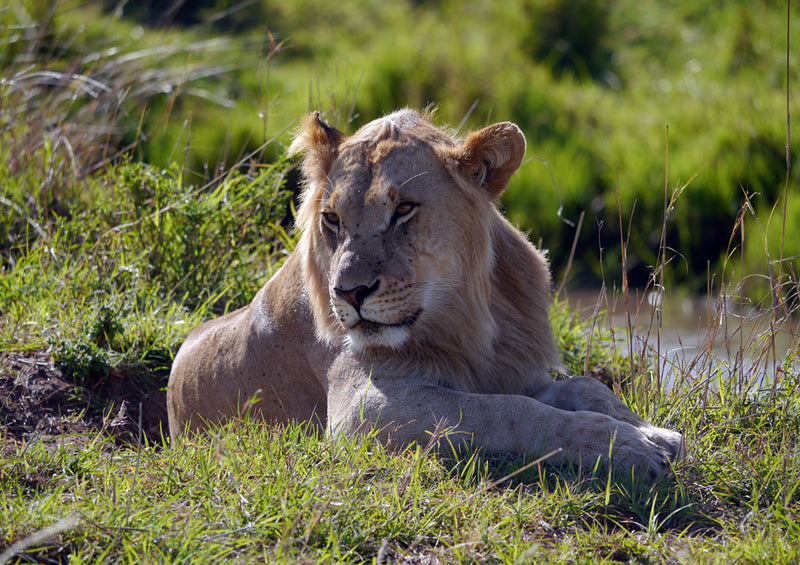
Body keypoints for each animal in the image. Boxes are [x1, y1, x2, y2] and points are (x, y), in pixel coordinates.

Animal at [167, 108, 680, 478]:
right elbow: (510, 412)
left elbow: (587, 386)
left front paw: (652, 431)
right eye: (332, 219)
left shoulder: (512, 370)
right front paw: (628, 447)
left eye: (404, 210)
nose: (348, 293)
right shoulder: (362, 410)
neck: (466, 320)